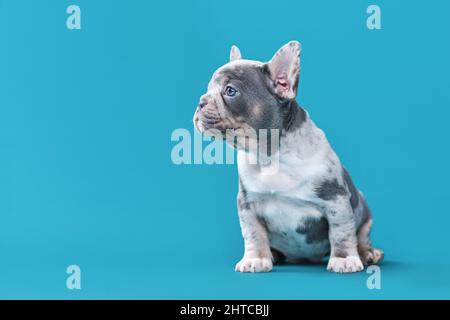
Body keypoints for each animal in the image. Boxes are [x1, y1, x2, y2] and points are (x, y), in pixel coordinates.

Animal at [193, 41, 384, 274]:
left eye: (230, 91)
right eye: (207, 89)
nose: (201, 101)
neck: (270, 157)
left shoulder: (336, 199)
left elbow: (341, 231)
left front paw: (344, 259)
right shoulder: (247, 205)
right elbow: (253, 234)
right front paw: (256, 258)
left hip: (364, 209)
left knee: (362, 235)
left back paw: (368, 253)